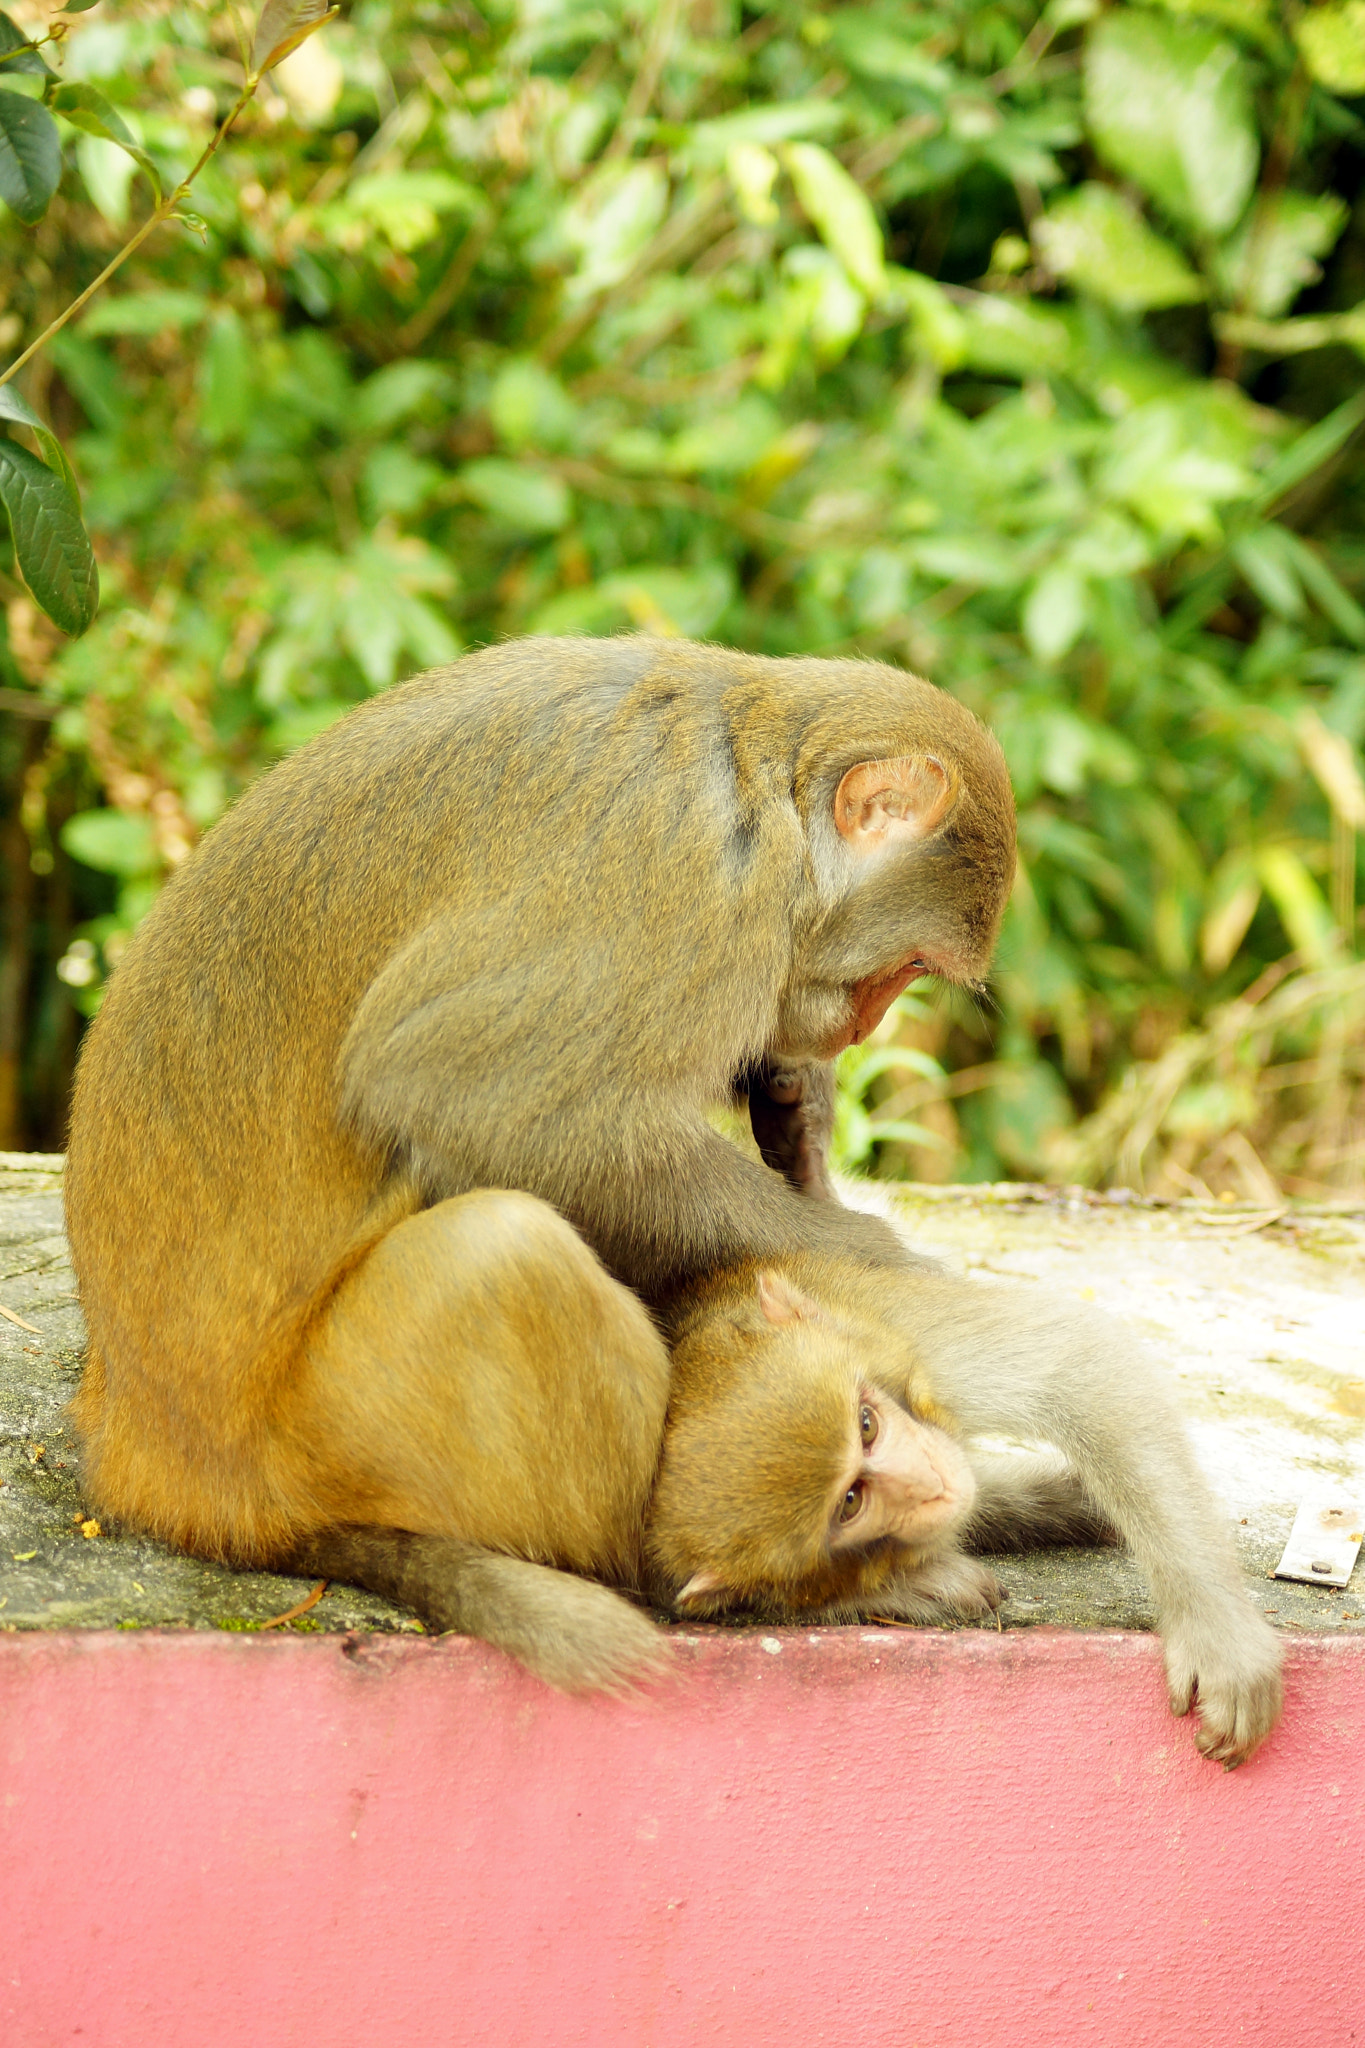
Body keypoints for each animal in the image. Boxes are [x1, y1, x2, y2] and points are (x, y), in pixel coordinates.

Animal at [69, 634, 1019, 1679]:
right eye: (909, 967)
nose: (858, 1030)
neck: (762, 774)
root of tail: (146, 1452)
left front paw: (801, 1126)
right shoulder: (694, 894)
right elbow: (448, 1091)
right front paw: (871, 1254)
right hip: (316, 1433)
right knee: (502, 1249)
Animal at [646, 1253, 1285, 1769]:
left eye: (867, 1424)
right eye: (849, 1502)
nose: (927, 1483)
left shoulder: (903, 1331)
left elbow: (1080, 1360)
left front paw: (1217, 1635)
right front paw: (922, 1581)